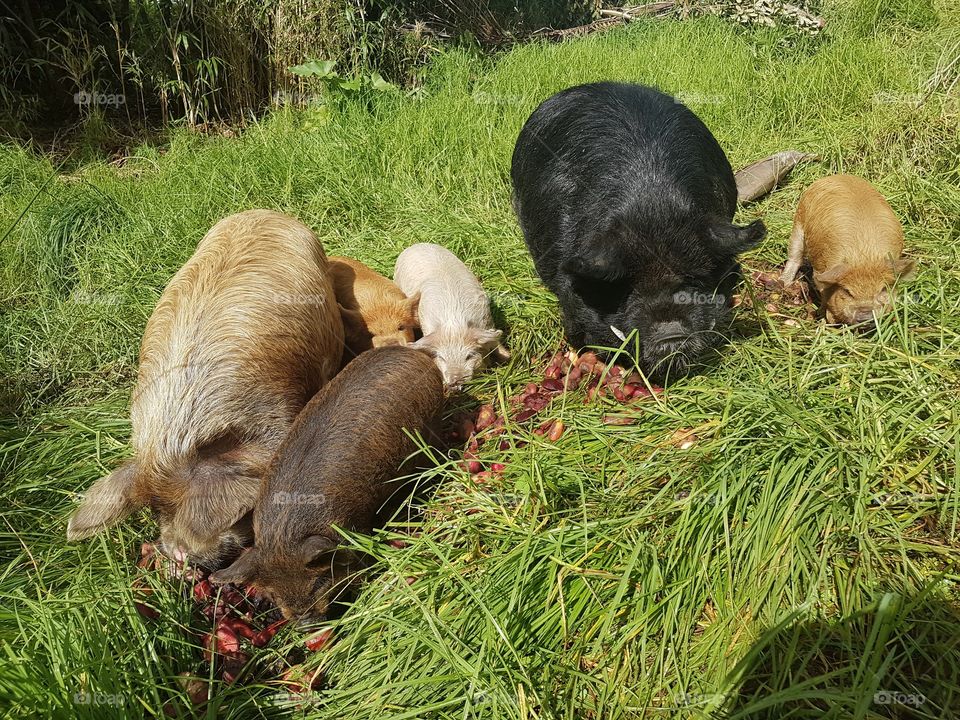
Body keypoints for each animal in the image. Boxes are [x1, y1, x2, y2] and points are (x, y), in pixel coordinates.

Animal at [208, 345, 445, 625]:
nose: (304, 625)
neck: (283, 535)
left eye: (318, 582)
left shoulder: (353, 528)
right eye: (275, 595)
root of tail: (415, 353)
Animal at [393, 243, 509, 390]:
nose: (455, 381)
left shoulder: (486, 319)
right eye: (442, 358)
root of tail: (415, 245)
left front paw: (508, 356)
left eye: (469, 356)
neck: (454, 323)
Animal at [781, 174, 915, 325]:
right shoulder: (820, 270)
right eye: (847, 292)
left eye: (882, 289)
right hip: (798, 222)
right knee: (795, 256)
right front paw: (824, 317)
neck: (864, 257)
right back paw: (784, 283)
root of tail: (836, 176)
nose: (865, 315)